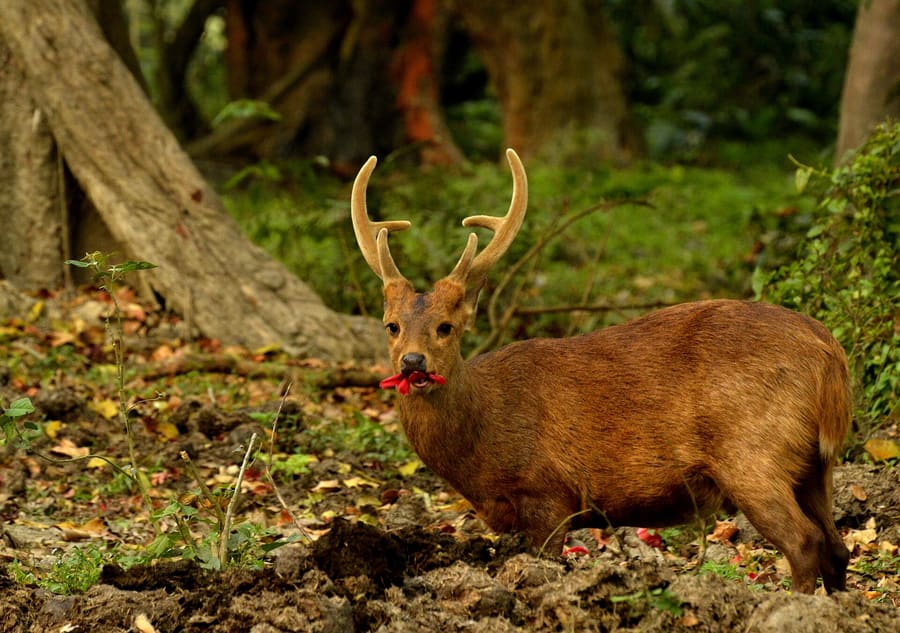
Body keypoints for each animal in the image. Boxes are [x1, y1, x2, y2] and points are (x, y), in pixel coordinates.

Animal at [350, 149, 851, 594]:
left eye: (446, 327)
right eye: (391, 325)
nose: (413, 362)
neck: (482, 443)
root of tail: (829, 353)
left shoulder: (547, 494)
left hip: (753, 450)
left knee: (805, 541)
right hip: (814, 462)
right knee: (838, 546)